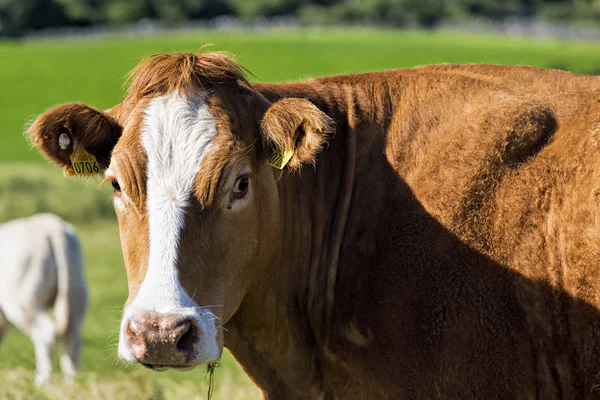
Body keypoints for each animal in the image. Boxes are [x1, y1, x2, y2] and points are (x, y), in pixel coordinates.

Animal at [0, 214, 87, 386]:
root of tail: (49, 223)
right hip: (77, 296)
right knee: (72, 339)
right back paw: (70, 383)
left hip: (24, 302)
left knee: (46, 334)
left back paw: (42, 382)